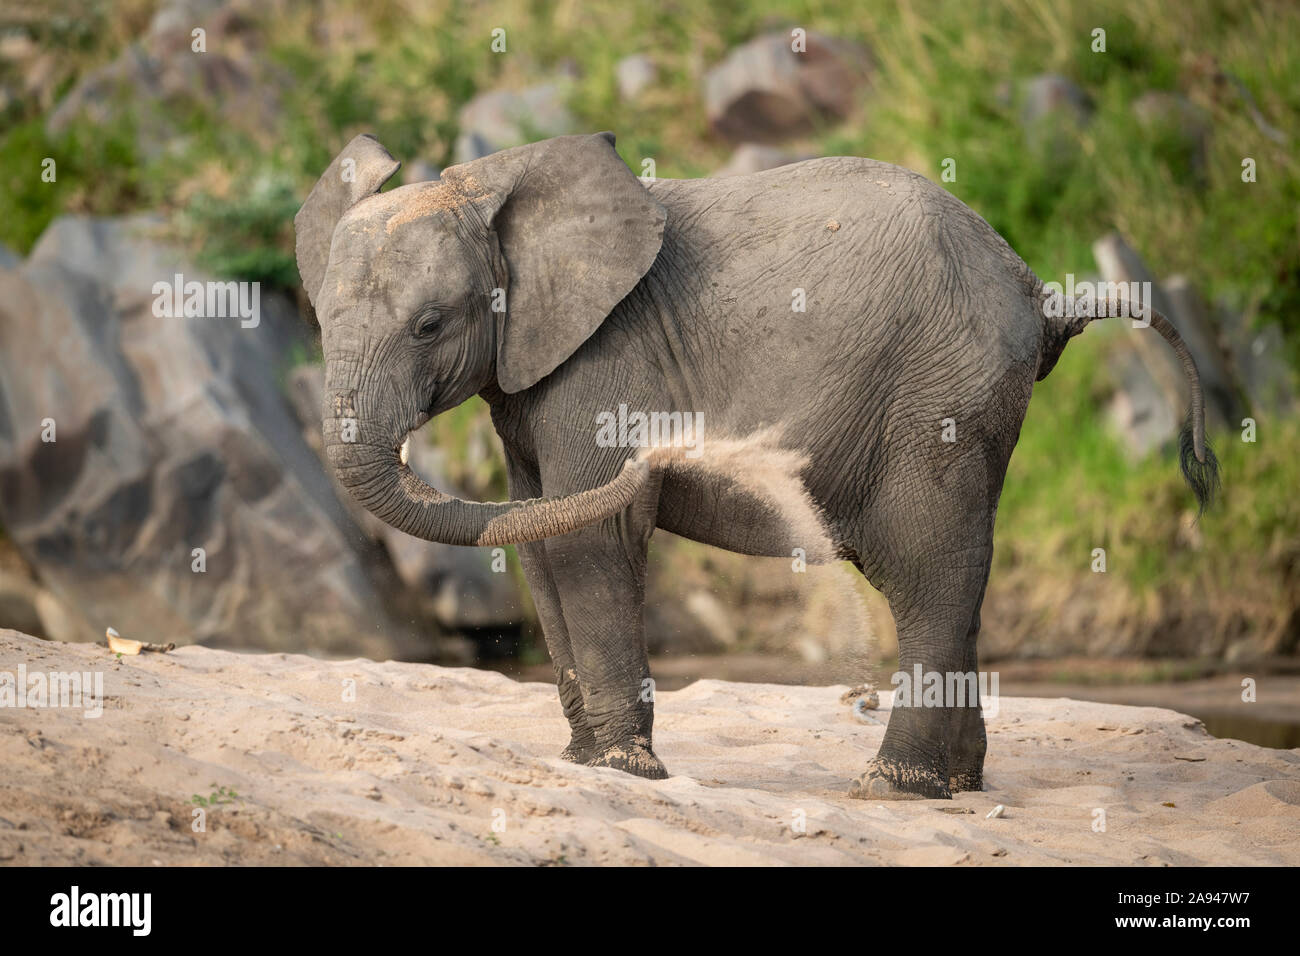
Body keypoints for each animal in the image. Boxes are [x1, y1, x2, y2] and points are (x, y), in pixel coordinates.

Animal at [295, 131, 1218, 799]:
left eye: (429, 325)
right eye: (320, 321)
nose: (675, 449)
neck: (485, 185)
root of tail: (1037, 290)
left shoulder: (606, 361)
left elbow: (596, 531)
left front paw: (625, 773)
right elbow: (539, 536)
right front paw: (584, 765)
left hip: (941, 396)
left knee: (930, 568)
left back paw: (894, 787)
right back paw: (959, 784)